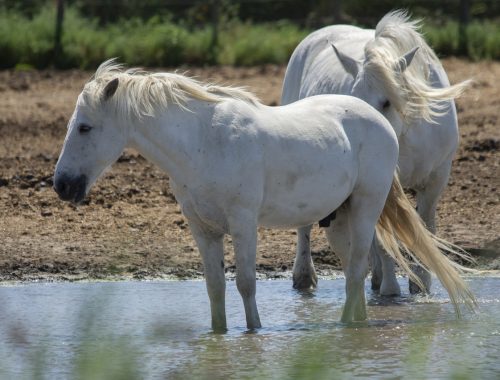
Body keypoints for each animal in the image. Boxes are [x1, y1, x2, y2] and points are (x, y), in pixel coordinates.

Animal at [53, 60, 472, 332]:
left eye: (86, 127)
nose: (62, 185)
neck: (204, 143)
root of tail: (379, 121)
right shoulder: (202, 229)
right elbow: (215, 286)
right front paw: (219, 334)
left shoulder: (243, 224)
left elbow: (245, 283)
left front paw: (253, 333)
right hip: (339, 220)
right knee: (357, 275)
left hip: (367, 209)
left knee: (356, 272)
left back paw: (342, 329)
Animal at [284, 8, 470, 294]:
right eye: (353, 98)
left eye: (387, 102)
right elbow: (384, 242)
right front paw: (391, 290)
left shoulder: (435, 180)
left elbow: (425, 228)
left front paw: (421, 285)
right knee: (307, 226)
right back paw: (305, 277)